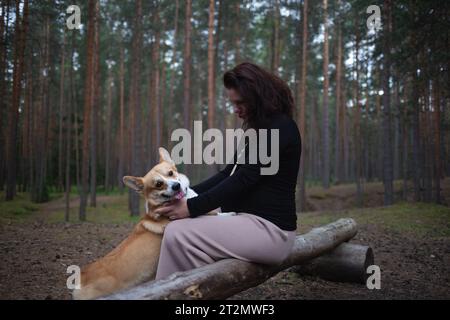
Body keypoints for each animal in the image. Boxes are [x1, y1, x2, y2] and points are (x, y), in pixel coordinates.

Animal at [72, 148, 234, 300]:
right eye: (158, 184)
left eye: (170, 173)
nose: (176, 186)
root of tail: (80, 279)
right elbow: (214, 213)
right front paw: (229, 214)